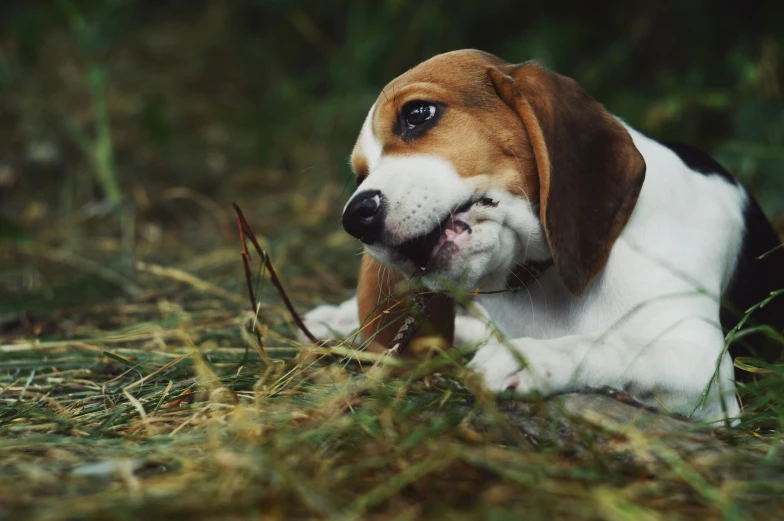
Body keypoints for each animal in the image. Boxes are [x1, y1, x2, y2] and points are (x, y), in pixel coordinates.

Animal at [302, 48, 784, 422]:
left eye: (418, 114)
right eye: (359, 175)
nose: (356, 217)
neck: (542, 276)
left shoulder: (706, 372)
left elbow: (616, 342)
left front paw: (533, 357)